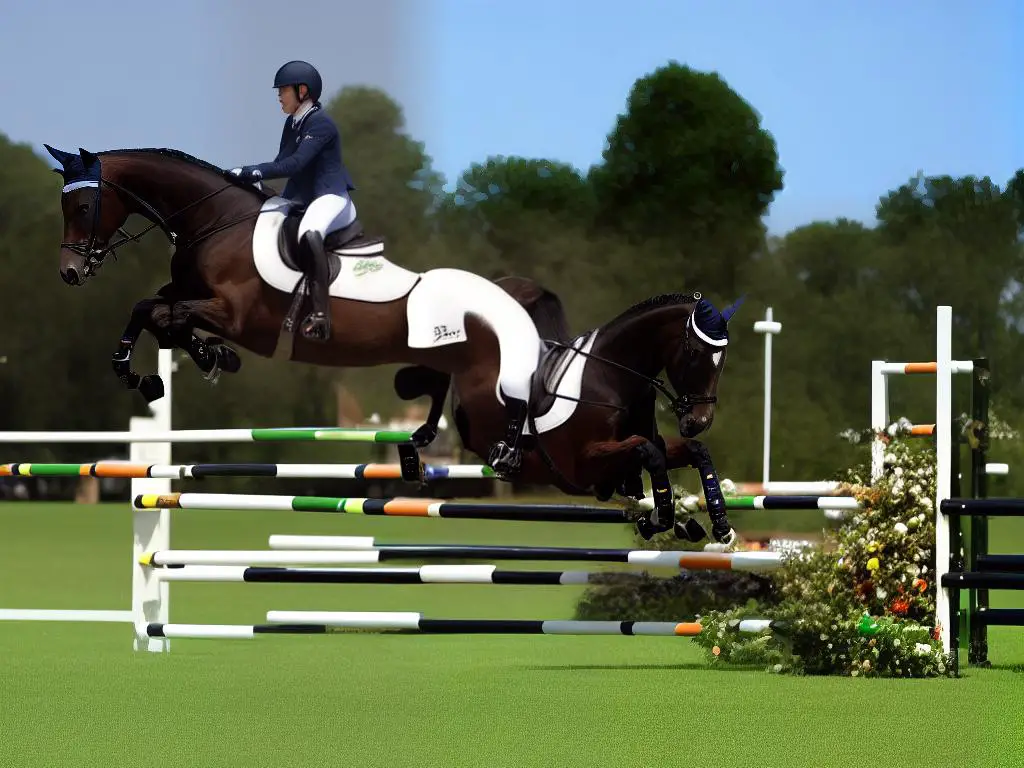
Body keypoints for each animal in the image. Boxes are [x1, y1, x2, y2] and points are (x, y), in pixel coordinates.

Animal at [44, 144, 741, 540]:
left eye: (82, 207)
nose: (71, 271)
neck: (216, 223)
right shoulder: (199, 301)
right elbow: (153, 311)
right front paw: (158, 371)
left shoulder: (235, 311)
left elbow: (166, 315)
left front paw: (692, 517)